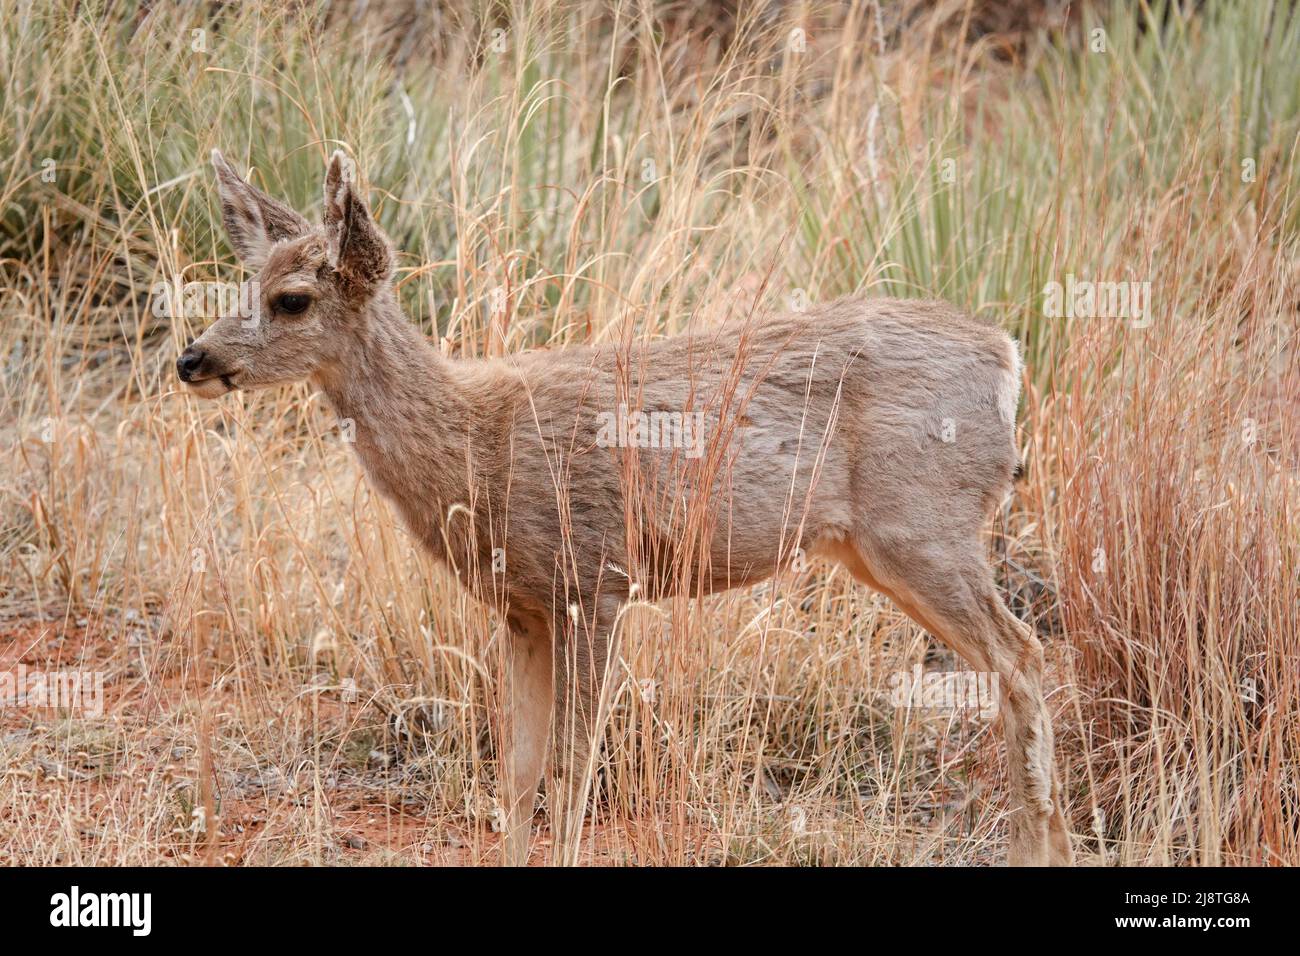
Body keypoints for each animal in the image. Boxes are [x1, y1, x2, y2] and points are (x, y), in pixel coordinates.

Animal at [177, 149, 1074, 867]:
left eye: (292, 298)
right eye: (246, 282)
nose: (193, 358)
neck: (476, 446)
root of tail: (1008, 356)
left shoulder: (593, 582)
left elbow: (574, 765)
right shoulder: (524, 608)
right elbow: (518, 769)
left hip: (925, 528)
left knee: (1023, 654)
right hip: (880, 546)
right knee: (1012, 664)